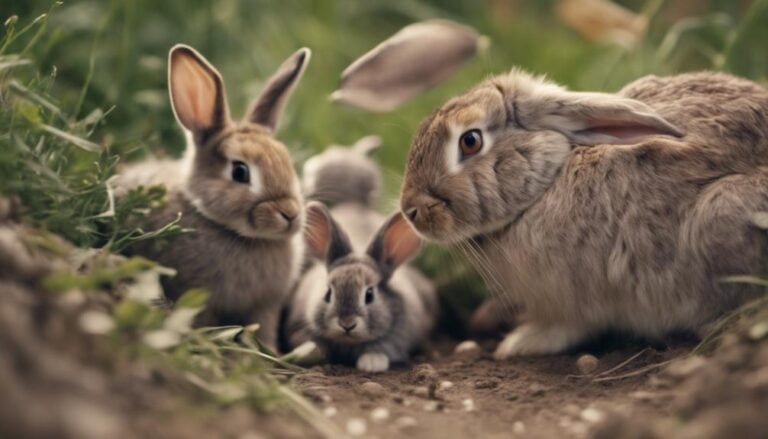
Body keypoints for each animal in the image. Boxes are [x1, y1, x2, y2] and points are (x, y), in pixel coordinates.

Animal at [120, 44, 311, 348]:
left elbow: (264, 329)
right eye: (240, 171)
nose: (290, 214)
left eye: (287, 162)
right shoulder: (198, 295)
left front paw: (268, 351)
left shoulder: (266, 306)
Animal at [399, 69, 768, 358]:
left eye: (470, 141)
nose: (409, 210)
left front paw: (518, 343)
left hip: (721, 211)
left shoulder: (580, 299)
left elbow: (569, 327)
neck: (548, 181)